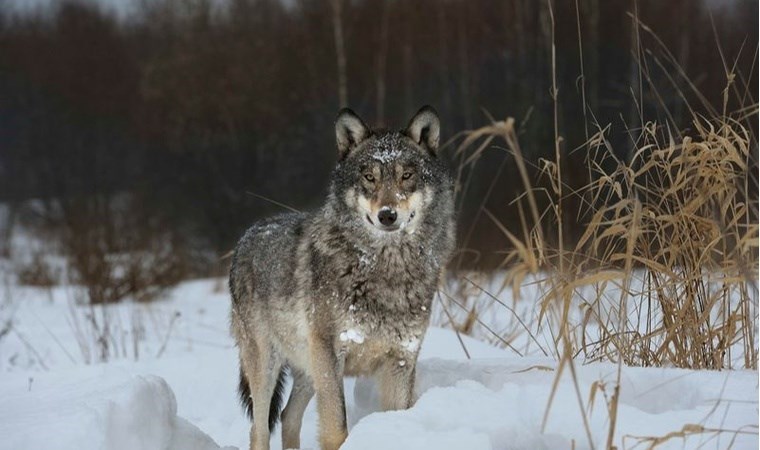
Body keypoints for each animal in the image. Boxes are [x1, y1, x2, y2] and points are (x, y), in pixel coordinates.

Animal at [229, 106, 454, 450]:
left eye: (406, 175)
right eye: (369, 177)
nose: (387, 215)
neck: (386, 270)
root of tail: (246, 236)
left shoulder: (401, 360)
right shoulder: (330, 356)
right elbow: (336, 429)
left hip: (308, 369)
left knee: (288, 417)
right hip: (270, 365)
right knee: (260, 428)